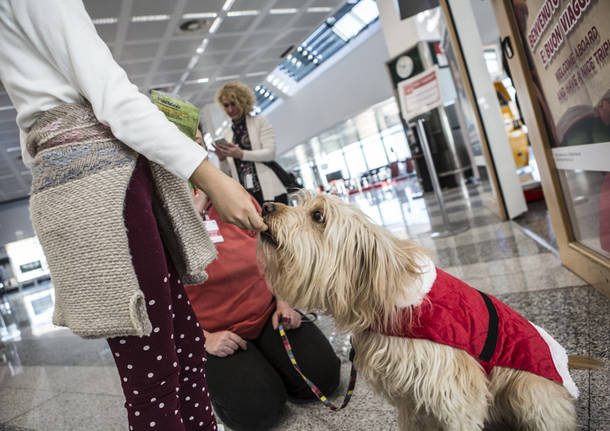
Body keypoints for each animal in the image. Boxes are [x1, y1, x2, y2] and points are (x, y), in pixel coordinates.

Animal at [256, 194, 592, 430]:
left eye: (318, 216)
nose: (265, 206)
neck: (379, 295)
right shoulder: (411, 399)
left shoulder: (453, 393)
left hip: (529, 390)